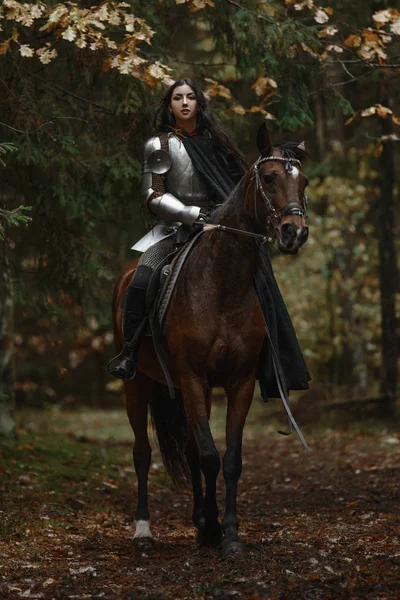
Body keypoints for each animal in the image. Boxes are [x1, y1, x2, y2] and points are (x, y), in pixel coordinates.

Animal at [111, 124, 310, 556]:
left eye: (302, 181)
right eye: (269, 178)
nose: (294, 232)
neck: (222, 284)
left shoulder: (239, 383)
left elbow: (229, 458)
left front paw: (227, 531)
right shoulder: (192, 379)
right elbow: (208, 456)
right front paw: (214, 529)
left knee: (187, 448)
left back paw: (200, 520)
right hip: (137, 383)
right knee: (142, 452)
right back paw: (143, 528)